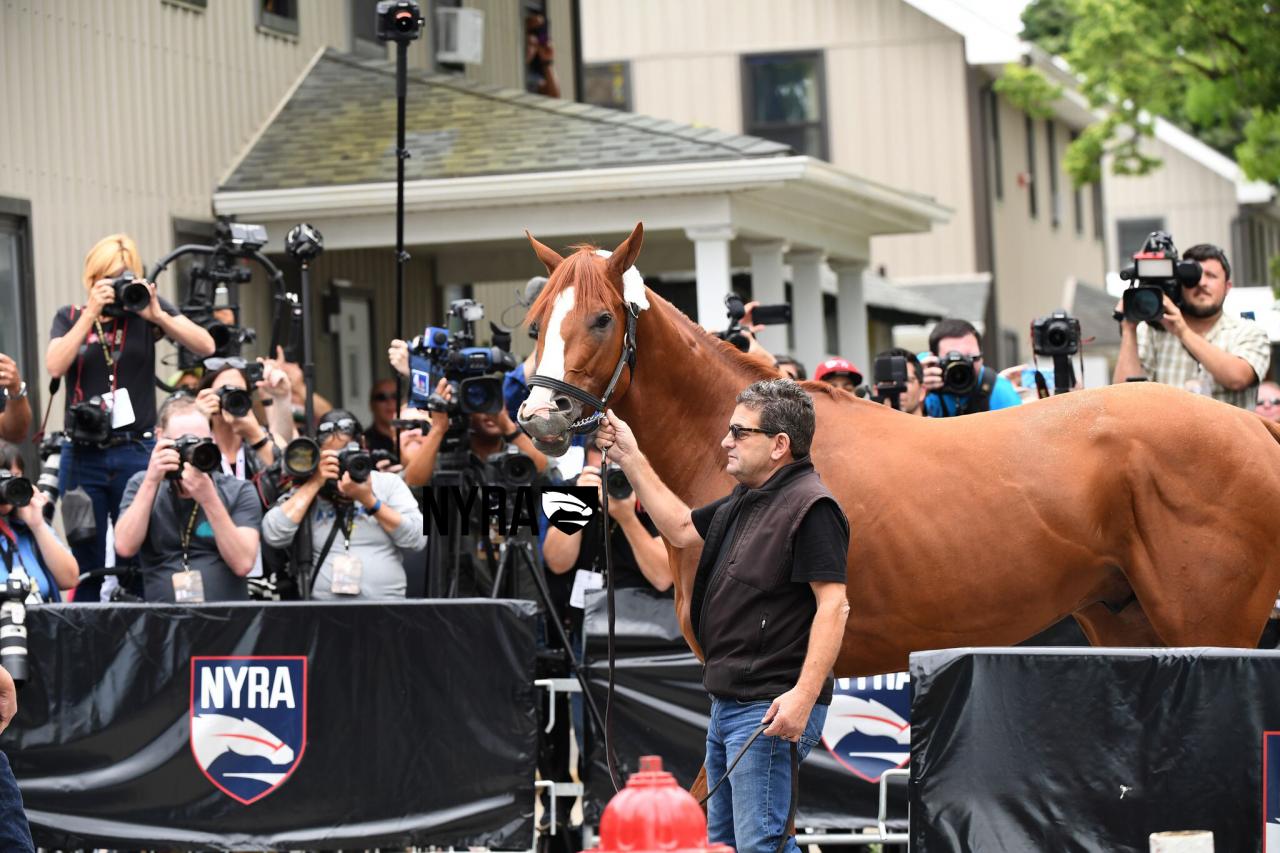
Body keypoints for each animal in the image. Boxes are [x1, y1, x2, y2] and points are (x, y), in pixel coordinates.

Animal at [514, 220, 1280, 676]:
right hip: (1127, 627)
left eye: (602, 318)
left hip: (1212, 632)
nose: (538, 413)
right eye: (534, 324)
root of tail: (1255, 429)